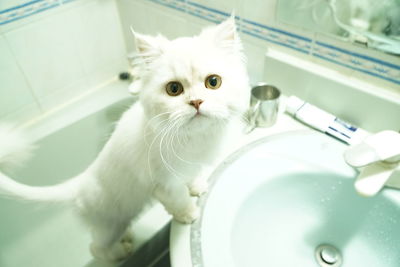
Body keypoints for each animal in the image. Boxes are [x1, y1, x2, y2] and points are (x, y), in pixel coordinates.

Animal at [0, 18, 250, 262]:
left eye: (213, 82)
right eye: (174, 89)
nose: (196, 102)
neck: (194, 137)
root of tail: (79, 183)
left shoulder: (188, 167)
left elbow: (192, 178)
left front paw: (198, 187)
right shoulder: (164, 185)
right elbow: (180, 200)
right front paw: (190, 215)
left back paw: (128, 237)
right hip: (110, 224)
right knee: (96, 248)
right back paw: (122, 252)